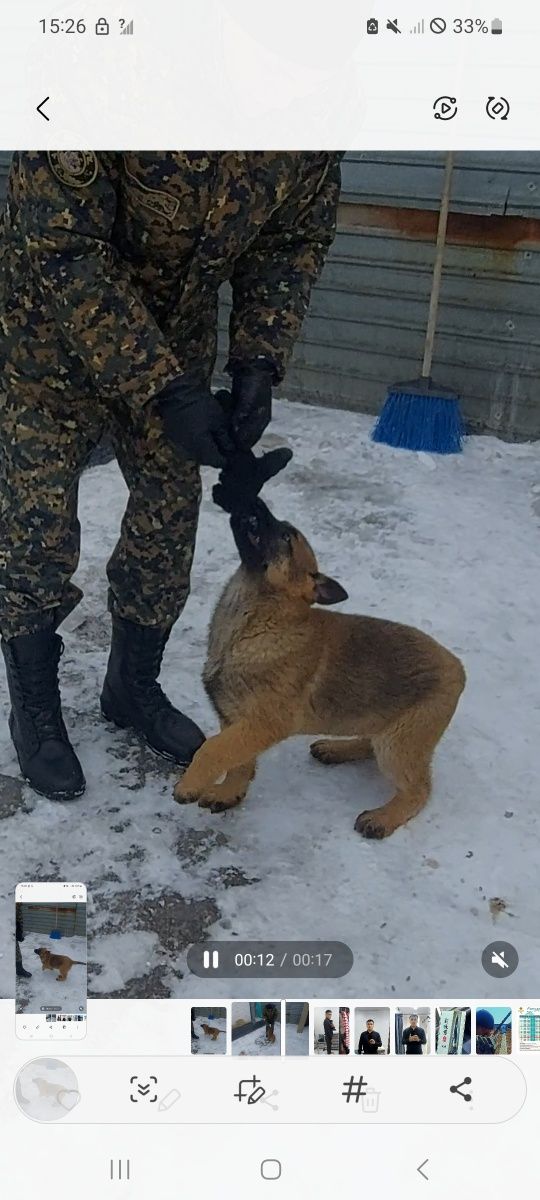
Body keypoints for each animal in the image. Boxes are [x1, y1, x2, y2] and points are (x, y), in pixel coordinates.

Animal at [175, 496, 465, 835]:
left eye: (287, 537)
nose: (252, 500)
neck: (263, 619)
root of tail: (458, 666)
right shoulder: (235, 720)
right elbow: (238, 762)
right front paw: (229, 792)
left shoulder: (261, 724)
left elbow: (214, 749)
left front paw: (191, 783)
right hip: (382, 722)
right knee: (371, 742)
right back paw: (336, 749)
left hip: (400, 741)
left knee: (419, 789)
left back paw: (382, 818)